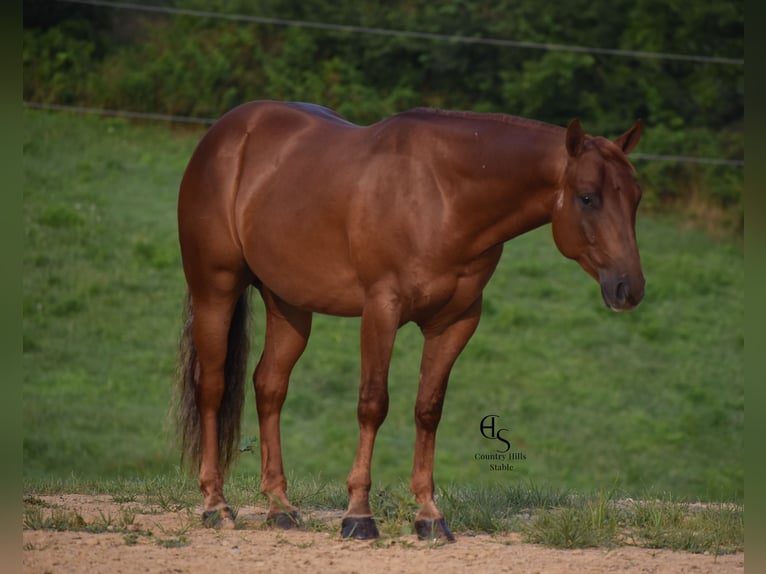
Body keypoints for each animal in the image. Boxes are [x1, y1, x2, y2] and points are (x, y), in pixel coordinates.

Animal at [175, 100, 644, 541]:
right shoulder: (382, 309)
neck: (442, 196)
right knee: (212, 387)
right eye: (587, 196)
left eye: (636, 197)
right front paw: (358, 516)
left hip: (288, 304)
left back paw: (280, 507)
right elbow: (372, 404)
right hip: (215, 290)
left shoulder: (456, 322)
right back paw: (216, 505)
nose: (630, 288)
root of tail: (226, 134)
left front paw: (429, 516)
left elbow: (428, 409)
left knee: (269, 386)